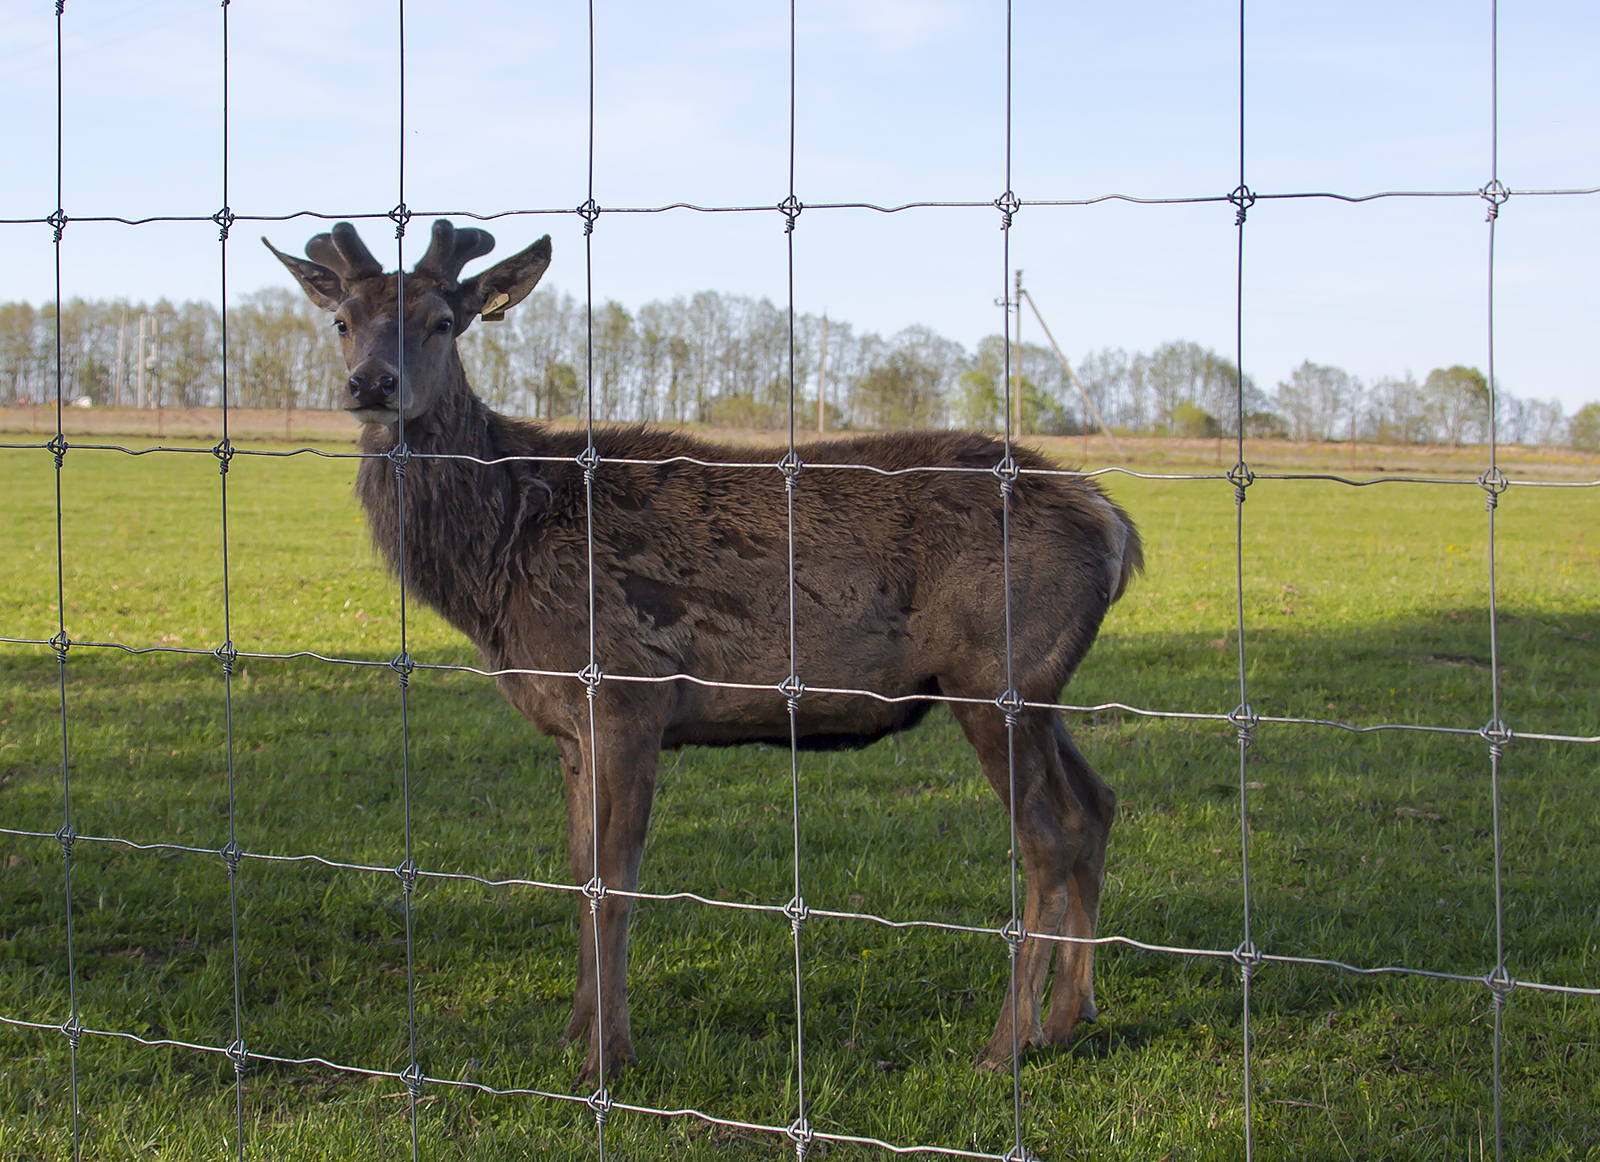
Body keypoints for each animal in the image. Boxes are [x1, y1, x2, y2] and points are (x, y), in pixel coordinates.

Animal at [265, 220, 1139, 1094]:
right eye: (341, 320)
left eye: (444, 322)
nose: (372, 384)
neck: (499, 563)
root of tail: (1116, 525)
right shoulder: (568, 728)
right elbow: (576, 875)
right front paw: (569, 1034)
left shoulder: (630, 690)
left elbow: (616, 881)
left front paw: (609, 1059)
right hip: (1040, 685)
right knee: (1097, 803)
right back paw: (1070, 1015)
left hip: (994, 675)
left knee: (1049, 834)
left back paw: (1006, 1043)